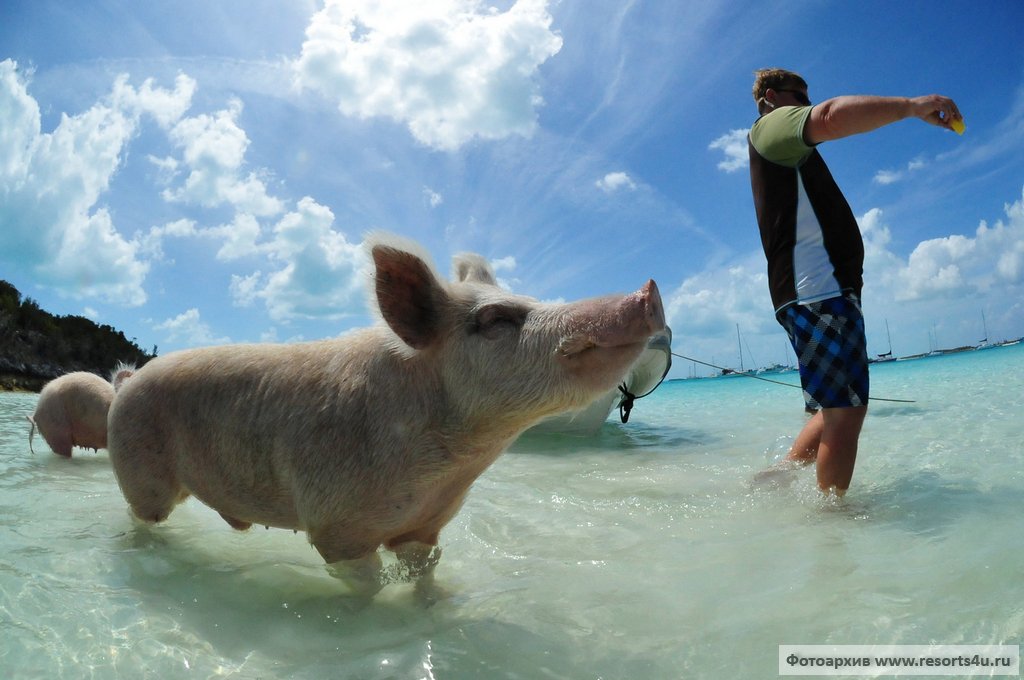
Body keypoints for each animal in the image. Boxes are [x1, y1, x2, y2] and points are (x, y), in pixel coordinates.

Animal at [108, 232, 667, 593]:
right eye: (494, 319)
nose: (649, 290)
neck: (452, 465)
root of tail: (126, 383)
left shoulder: (425, 525)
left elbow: (424, 573)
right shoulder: (337, 528)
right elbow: (367, 588)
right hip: (139, 469)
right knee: (141, 519)